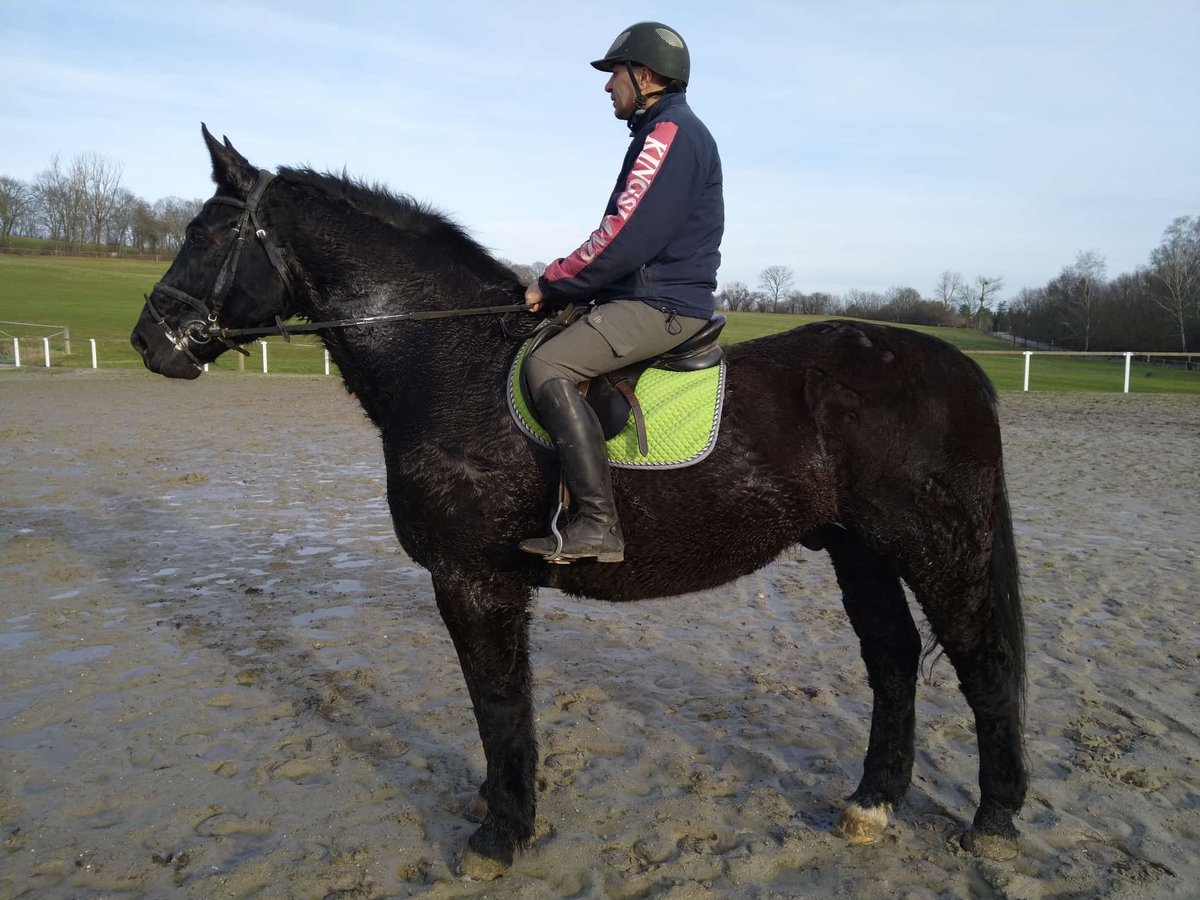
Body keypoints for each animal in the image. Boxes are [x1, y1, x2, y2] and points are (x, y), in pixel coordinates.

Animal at [133, 127, 1032, 883]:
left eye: (206, 233)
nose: (149, 341)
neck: (445, 357)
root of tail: (954, 366)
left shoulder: (472, 580)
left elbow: (498, 703)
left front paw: (501, 834)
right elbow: (502, 706)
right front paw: (502, 809)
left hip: (938, 547)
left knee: (984, 664)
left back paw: (993, 821)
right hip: (861, 549)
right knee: (893, 660)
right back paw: (872, 804)